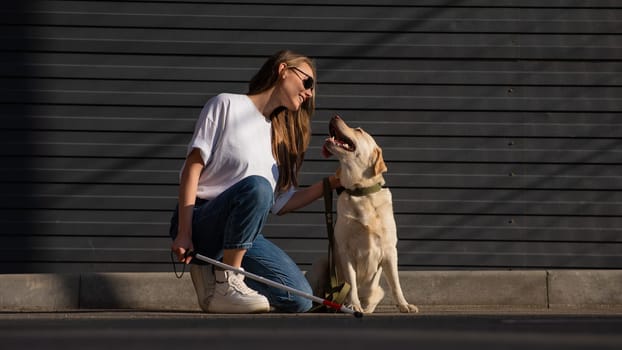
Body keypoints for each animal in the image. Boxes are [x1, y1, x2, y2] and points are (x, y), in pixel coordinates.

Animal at [322, 115, 420, 314]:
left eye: (359, 130)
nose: (335, 116)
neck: (361, 192)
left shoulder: (390, 250)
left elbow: (396, 283)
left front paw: (404, 304)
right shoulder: (345, 251)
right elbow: (351, 283)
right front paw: (353, 304)